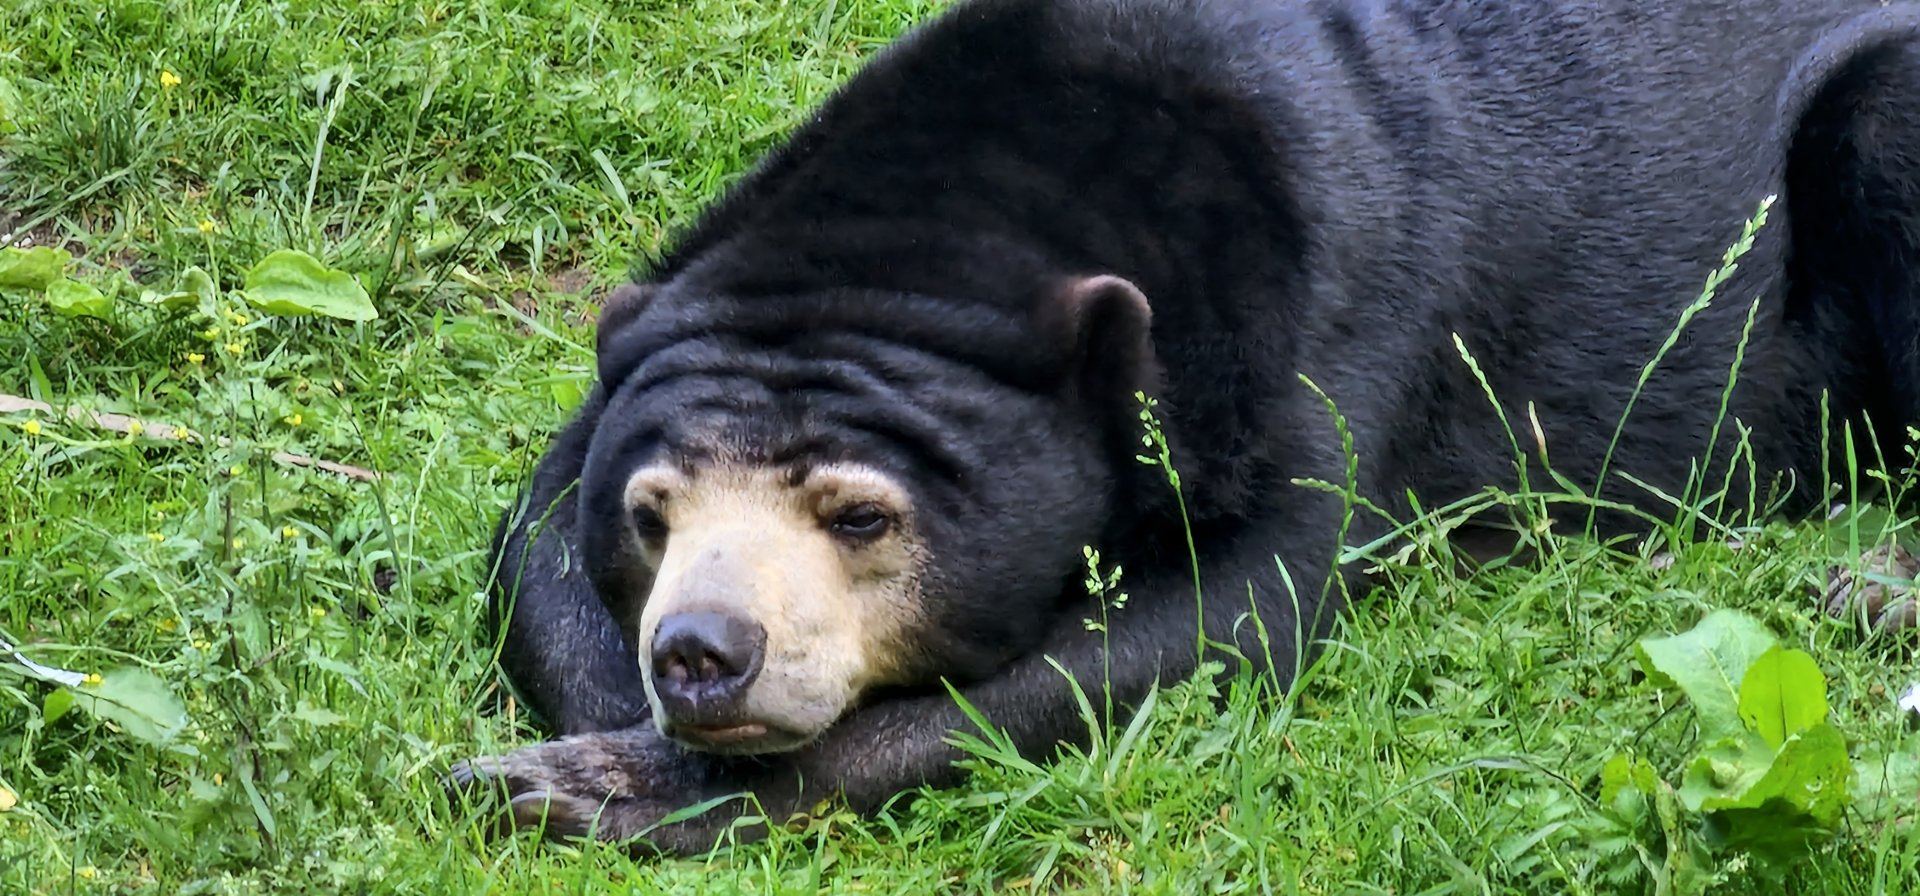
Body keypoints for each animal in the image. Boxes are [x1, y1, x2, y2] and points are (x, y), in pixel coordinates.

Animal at [448, 0, 1920, 857]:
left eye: (863, 515)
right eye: (653, 515)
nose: (702, 654)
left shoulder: (1341, 322)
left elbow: (1234, 609)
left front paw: (601, 784)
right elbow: (532, 540)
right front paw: (597, 735)